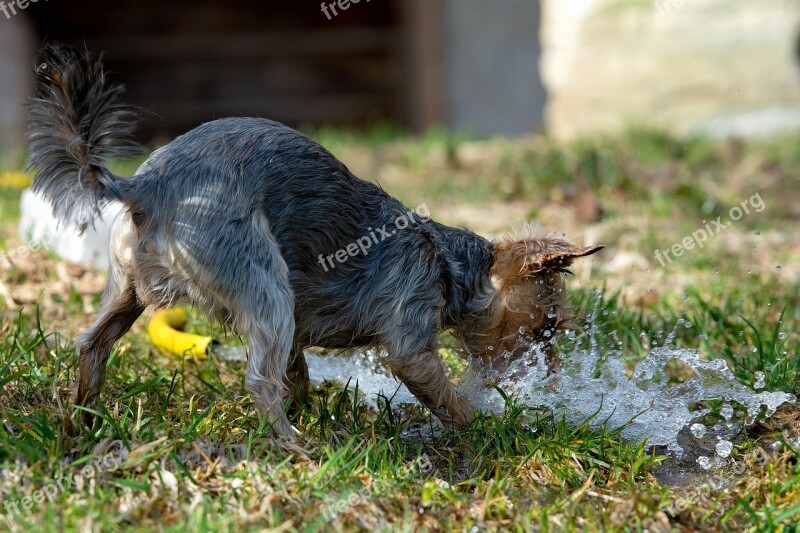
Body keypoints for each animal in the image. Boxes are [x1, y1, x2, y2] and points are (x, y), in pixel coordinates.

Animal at [28, 43, 604, 436]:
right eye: (546, 329)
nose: (552, 381)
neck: (445, 261)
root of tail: (145, 187)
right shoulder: (410, 334)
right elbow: (438, 390)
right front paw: (494, 427)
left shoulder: (303, 329)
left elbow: (297, 368)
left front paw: (310, 402)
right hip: (263, 283)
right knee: (258, 382)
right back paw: (294, 446)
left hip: (126, 285)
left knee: (94, 343)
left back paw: (82, 420)